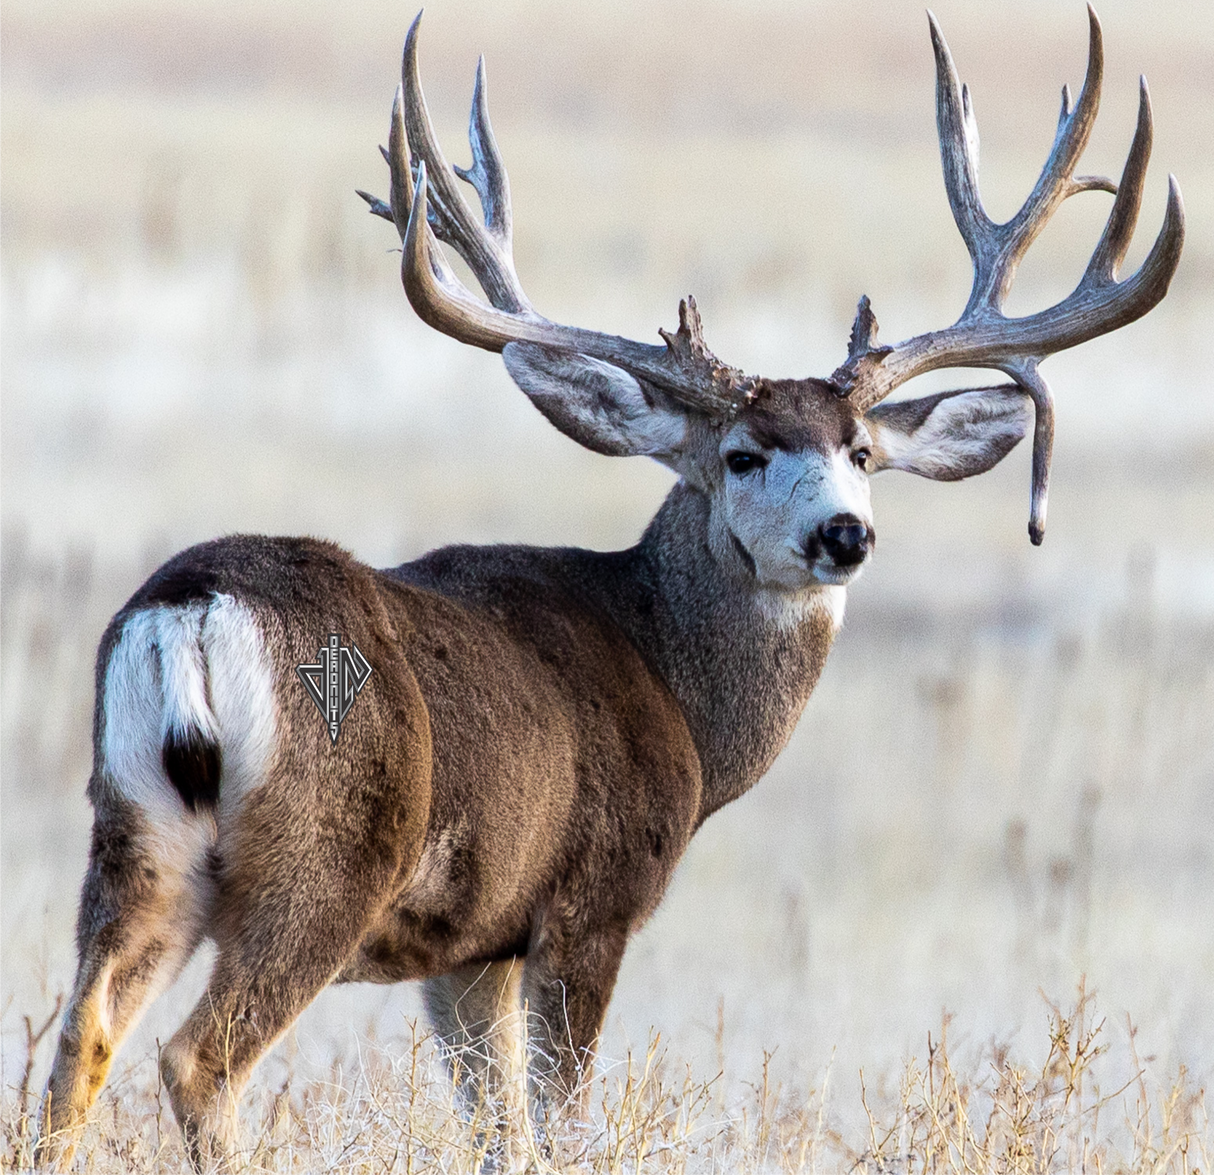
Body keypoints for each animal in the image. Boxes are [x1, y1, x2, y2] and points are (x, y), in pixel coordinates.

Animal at [40, 7, 1181, 1171]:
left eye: (861, 451)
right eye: (741, 454)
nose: (844, 533)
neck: (674, 686)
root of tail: (191, 611)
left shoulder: (471, 945)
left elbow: (495, 1121)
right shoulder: (589, 901)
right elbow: (556, 1119)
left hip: (133, 835)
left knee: (79, 1040)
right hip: (326, 854)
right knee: (199, 1058)